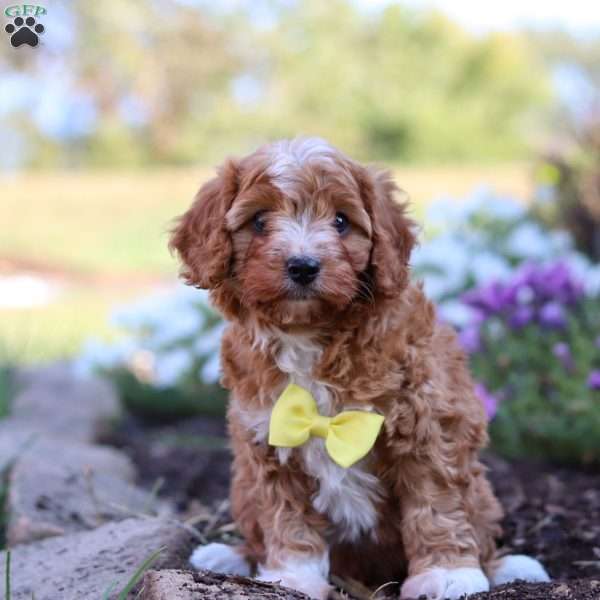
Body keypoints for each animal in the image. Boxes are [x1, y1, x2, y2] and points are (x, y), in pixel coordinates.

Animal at [170, 138, 548, 596]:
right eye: (259, 220)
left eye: (341, 221)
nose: (302, 265)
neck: (311, 334)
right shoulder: (269, 437)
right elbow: (288, 517)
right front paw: (293, 576)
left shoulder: (429, 423)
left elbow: (436, 503)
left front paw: (447, 574)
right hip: (242, 485)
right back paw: (229, 555)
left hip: (482, 495)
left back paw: (508, 567)